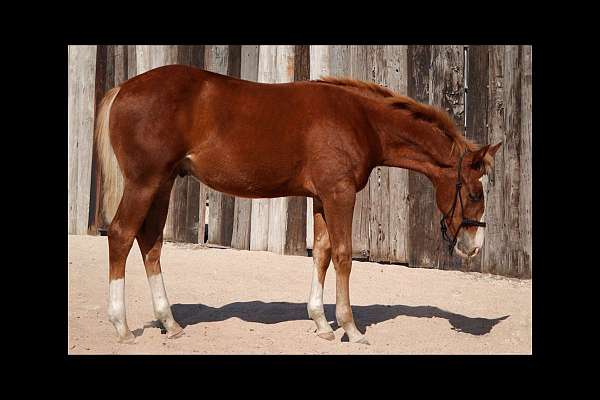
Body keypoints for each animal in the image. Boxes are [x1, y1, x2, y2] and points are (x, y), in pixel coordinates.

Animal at [96, 65, 502, 344]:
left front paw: (322, 323)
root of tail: (123, 88)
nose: (474, 246)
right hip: (145, 183)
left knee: (150, 243)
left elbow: (321, 253)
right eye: (475, 193)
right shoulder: (340, 194)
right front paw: (351, 328)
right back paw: (121, 327)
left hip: (163, 183)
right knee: (121, 235)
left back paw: (170, 323)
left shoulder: (322, 197)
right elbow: (343, 255)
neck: (360, 120)